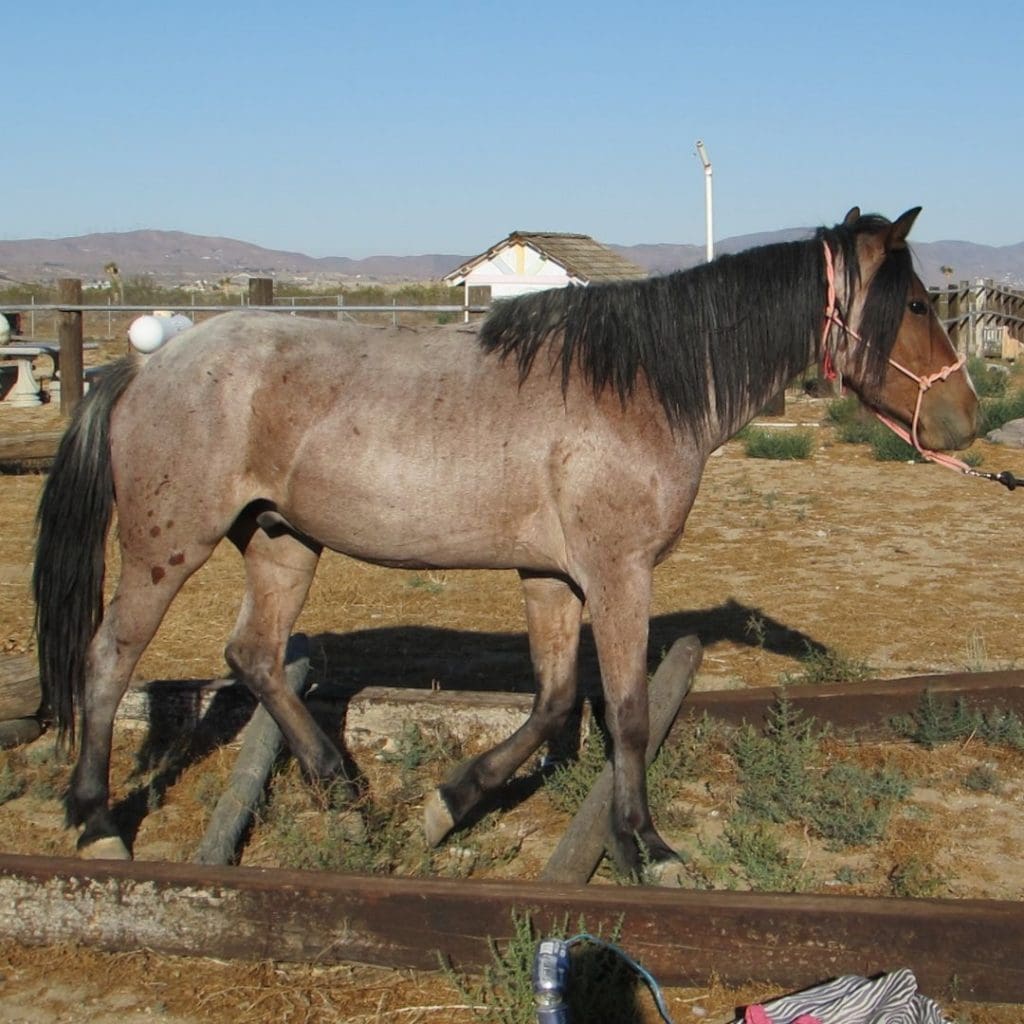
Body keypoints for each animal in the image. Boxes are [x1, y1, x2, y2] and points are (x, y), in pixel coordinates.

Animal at [32, 207, 974, 880]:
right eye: (916, 304)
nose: (965, 418)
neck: (638, 386)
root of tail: (146, 366)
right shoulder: (617, 575)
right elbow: (626, 713)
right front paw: (647, 846)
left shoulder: (550, 576)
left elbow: (556, 701)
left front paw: (449, 804)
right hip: (167, 551)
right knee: (109, 660)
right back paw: (96, 823)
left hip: (282, 542)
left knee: (256, 656)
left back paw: (344, 792)